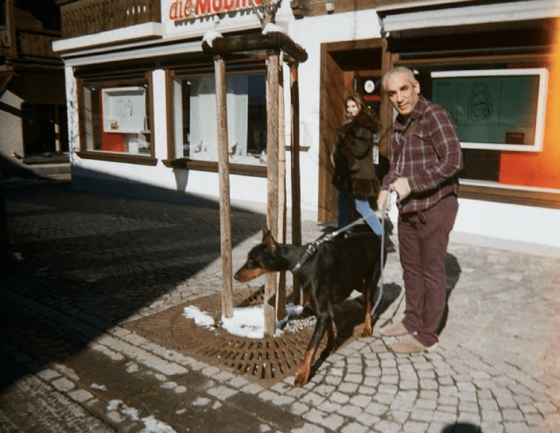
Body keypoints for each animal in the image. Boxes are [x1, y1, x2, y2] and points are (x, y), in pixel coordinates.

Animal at [233, 226, 384, 384]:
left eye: (252, 260)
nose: (234, 276)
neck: (301, 261)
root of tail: (376, 235)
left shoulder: (323, 312)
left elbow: (310, 349)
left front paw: (303, 374)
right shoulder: (324, 308)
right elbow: (329, 329)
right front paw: (329, 349)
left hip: (371, 278)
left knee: (369, 301)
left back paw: (367, 327)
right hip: (354, 281)